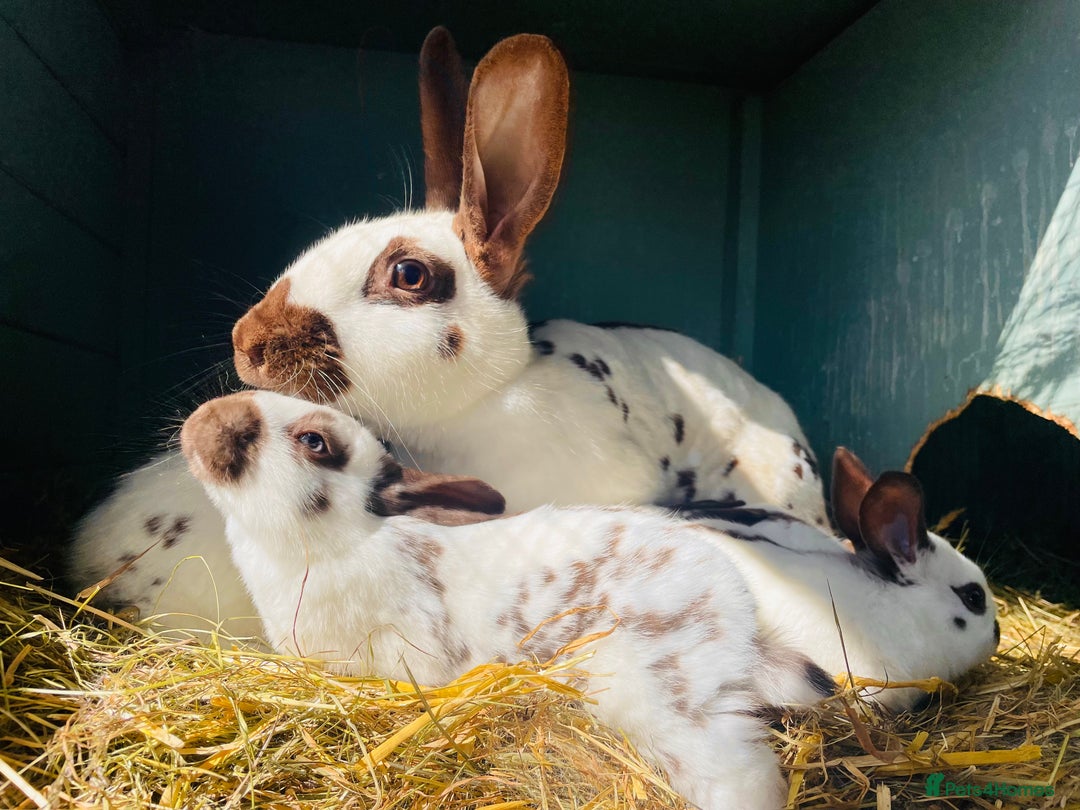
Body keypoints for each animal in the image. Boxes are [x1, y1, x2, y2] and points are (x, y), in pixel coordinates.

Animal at [180, 390, 840, 810]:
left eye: (314, 441)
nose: (199, 420)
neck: (337, 542)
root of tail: (737, 623)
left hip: (678, 709)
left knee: (745, 778)